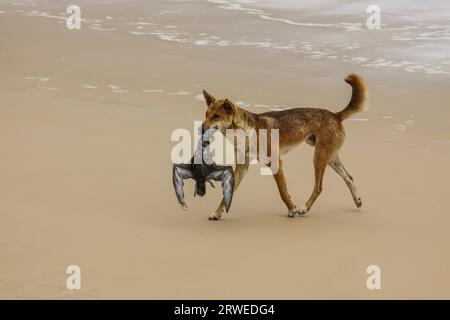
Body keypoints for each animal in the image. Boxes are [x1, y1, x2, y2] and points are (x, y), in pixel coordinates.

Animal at [203, 74, 366, 220]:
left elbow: (282, 191)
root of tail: (335, 115)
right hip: (331, 158)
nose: (202, 128)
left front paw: (292, 209)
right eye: (206, 114)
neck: (245, 131)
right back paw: (357, 200)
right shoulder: (242, 167)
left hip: (319, 158)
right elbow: (227, 194)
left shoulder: (276, 163)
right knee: (349, 178)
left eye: (216, 116)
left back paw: (304, 208)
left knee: (319, 187)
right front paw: (217, 213)